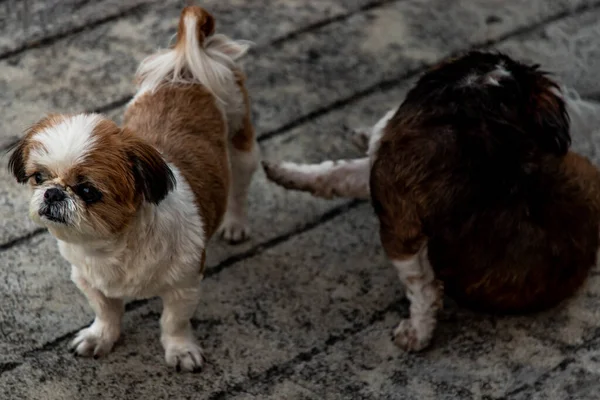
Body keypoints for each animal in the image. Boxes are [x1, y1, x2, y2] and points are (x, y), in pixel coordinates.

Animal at [7, 5, 258, 372]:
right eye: (39, 177)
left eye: (88, 191)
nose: (54, 193)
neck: (110, 247)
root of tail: (187, 66)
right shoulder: (87, 279)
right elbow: (106, 311)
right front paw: (101, 336)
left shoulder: (185, 284)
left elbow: (173, 322)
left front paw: (180, 349)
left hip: (241, 146)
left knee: (239, 189)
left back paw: (236, 223)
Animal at [264, 51, 600, 352]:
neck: (481, 105)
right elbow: (334, 173)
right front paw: (282, 171)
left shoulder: (397, 216)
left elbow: (420, 284)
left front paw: (417, 333)